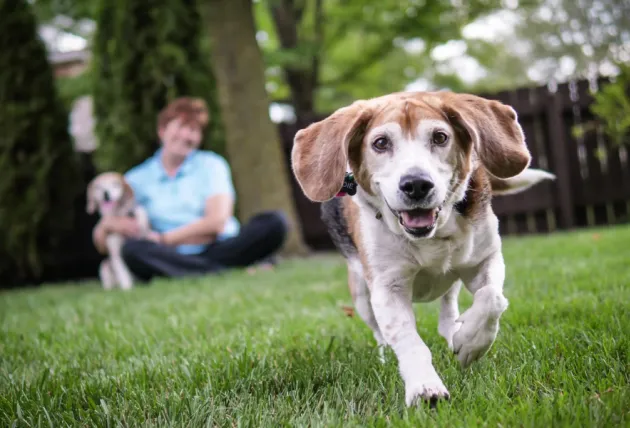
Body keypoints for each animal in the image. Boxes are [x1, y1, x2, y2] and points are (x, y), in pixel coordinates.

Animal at [292, 91, 556, 408]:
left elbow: (492, 298)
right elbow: (409, 341)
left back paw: (456, 333)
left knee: (449, 309)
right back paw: (385, 354)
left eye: (440, 137)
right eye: (380, 143)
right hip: (361, 295)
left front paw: (471, 342)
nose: (416, 184)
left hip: (452, 278)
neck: (429, 236)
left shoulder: (486, 259)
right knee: (380, 332)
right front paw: (425, 387)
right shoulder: (388, 288)